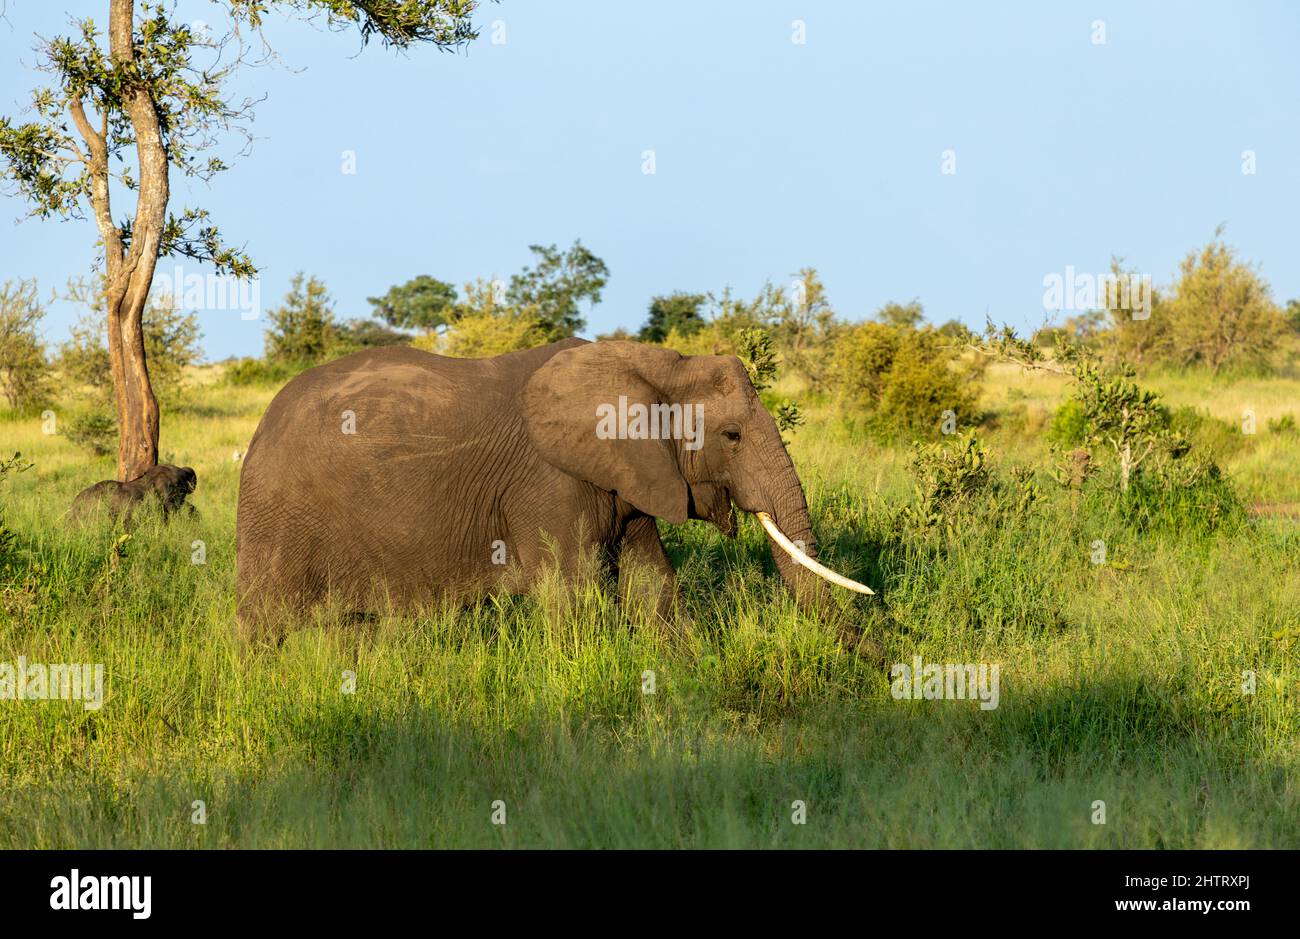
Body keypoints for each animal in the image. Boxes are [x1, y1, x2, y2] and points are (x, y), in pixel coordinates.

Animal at [239, 340, 878, 647]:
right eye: (732, 436)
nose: (879, 656)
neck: (656, 364)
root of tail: (263, 420)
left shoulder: (631, 473)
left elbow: (651, 585)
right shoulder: (550, 483)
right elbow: (573, 595)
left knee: (353, 630)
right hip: (277, 513)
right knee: (263, 623)